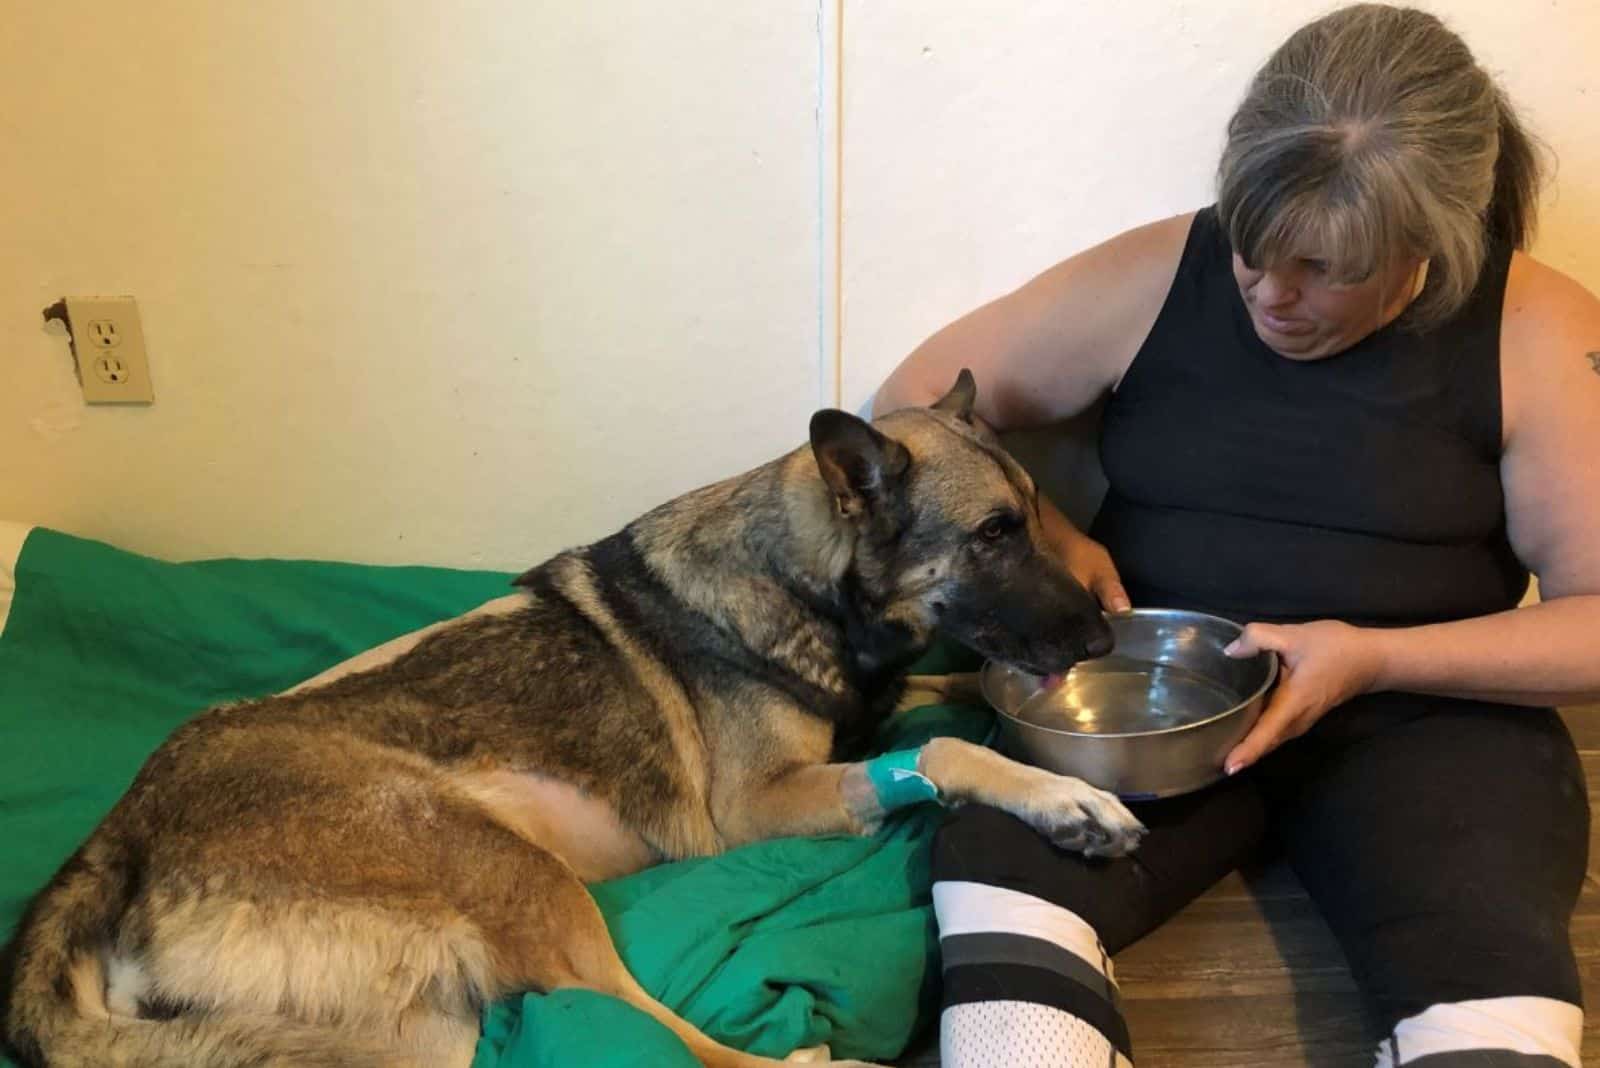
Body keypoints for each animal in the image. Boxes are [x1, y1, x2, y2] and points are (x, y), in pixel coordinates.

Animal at [6, 369, 1145, 1068]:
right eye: (994, 533)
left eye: (1033, 513)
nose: (1104, 632)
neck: (805, 578)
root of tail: (116, 837)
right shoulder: (756, 812)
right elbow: (946, 743)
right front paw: (1066, 798)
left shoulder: (869, 713)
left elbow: (955, 697)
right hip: (510, 871)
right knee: (674, 1041)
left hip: (420, 1031)